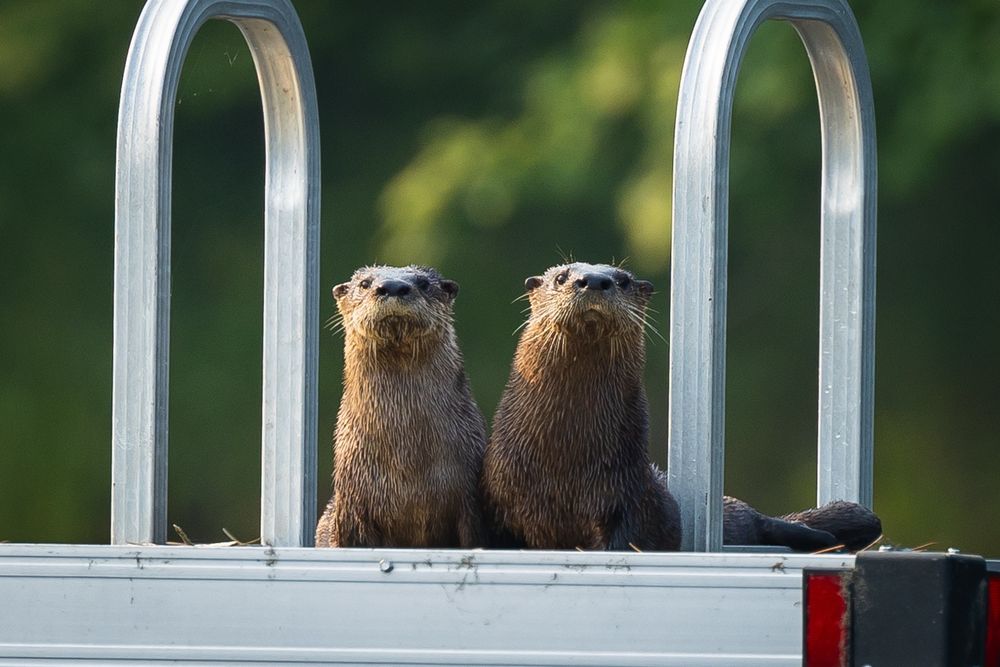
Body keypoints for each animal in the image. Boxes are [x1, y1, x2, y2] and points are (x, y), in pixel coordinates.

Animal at [481, 261, 881, 551]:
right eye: (562, 276)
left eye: (622, 280)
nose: (594, 280)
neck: (566, 458)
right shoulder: (500, 499)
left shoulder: (632, 494)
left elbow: (632, 539)